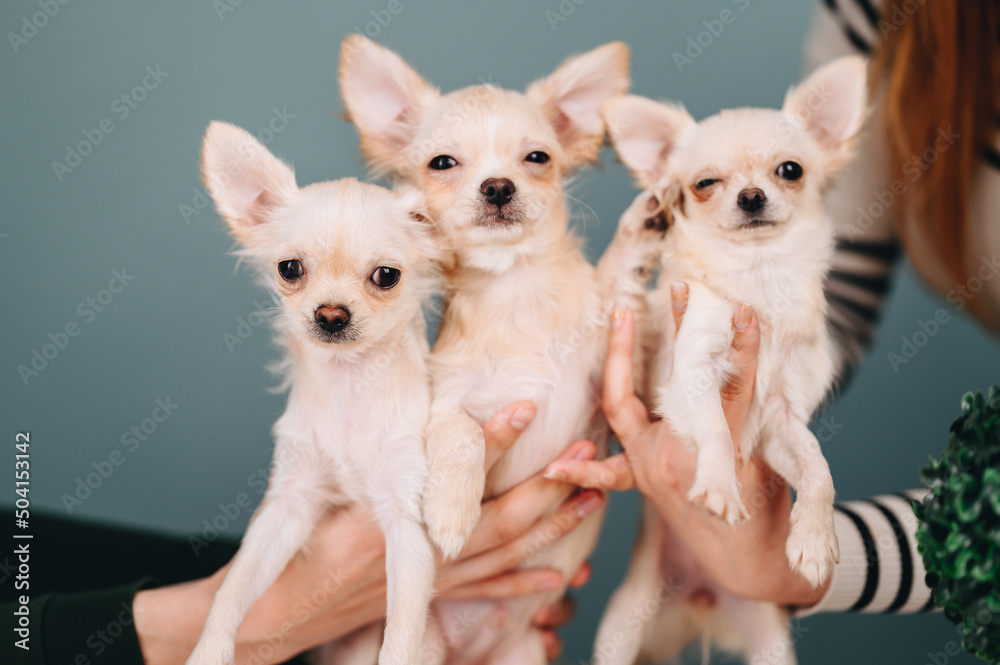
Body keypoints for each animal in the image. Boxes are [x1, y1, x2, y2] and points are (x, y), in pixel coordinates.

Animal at [186, 122, 440, 664]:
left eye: (386, 276)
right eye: (290, 269)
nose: (330, 315)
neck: (347, 386)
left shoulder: (406, 520)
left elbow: (402, 632)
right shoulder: (289, 503)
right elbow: (232, 589)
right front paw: (209, 651)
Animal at [340, 37, 628, 664]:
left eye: (537, 158)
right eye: (443, 164)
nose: (497, 186)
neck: (514, 289)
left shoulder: (599, 387)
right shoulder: (446, 401)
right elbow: (462, 435)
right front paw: (452, 510)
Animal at [592, 58, 868, 664]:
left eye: (790, 170)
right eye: (704, 184)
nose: (751, 196)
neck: (758, 276)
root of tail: (701, 602)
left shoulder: (782, 420)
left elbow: (817, 467)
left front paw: (815, 538)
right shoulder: (689, 378)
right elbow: (717, 429)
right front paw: (720, 484)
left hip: (769, 640)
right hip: (621, 632)